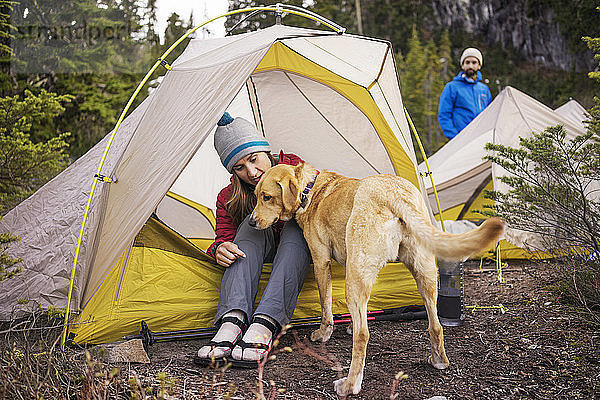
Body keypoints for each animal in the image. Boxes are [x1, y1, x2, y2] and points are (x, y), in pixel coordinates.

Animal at [250, 162, 506, 396]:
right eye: (256, 196)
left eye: (266, 197)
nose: (251, 222)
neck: (310, 189)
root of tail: (394, 194)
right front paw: (348, 325)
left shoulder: (322, 261)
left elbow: (326, 306)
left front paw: (323, 334)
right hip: (423, 274)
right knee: (436, 324)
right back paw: (439, 360)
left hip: (356, 276)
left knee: (363, 336)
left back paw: (349, 385)